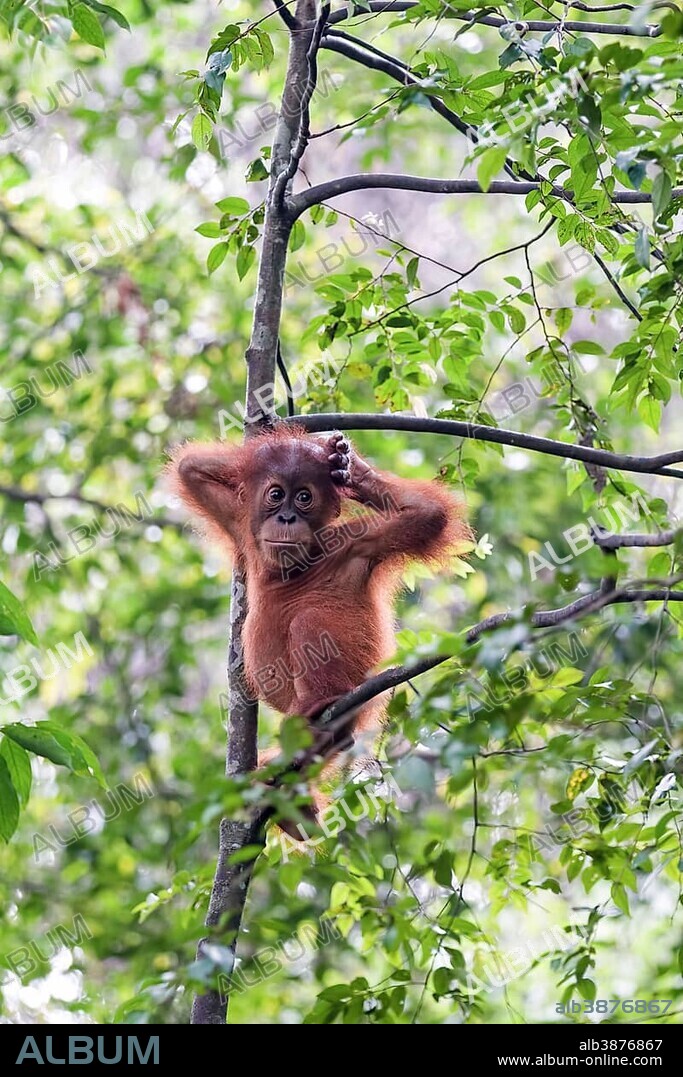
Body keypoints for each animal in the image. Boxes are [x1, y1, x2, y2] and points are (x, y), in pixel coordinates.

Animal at [168, 424, 470, 838]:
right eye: (276, 495)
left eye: (304, 497)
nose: (287, 517)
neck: (290, 570)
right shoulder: (239, 521)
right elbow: (191, 470)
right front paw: (336, 457)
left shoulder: (358, 544)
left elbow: (428, 516)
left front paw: (349, 465)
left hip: (358, 685)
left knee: (307, 623)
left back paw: (314, 717)